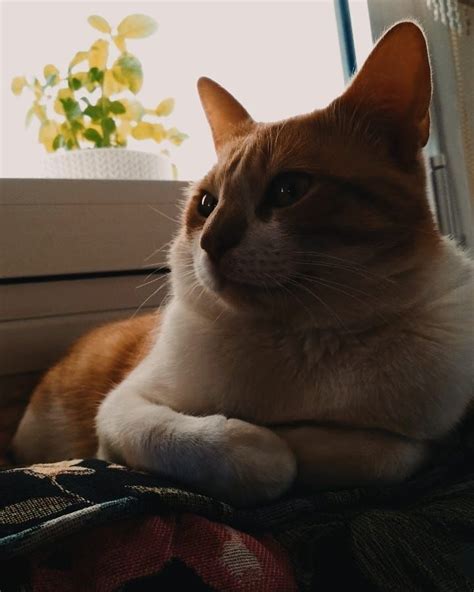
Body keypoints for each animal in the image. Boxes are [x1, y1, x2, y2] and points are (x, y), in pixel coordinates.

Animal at [10, 22, 470, 504]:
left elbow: (386, 454)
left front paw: (296, 437)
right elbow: (237, 452)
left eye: (289, 190)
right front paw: (264, 442)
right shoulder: (123, 410)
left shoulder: (428, 436)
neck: (298, 339)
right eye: (206, 204)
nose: (211, 242)